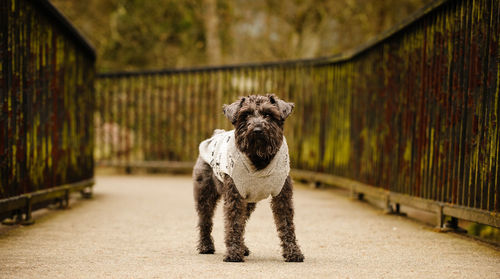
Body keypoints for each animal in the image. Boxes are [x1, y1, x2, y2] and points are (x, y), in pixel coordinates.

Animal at [193, 95, 304, 264]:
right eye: (245, 115)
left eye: (268, 114)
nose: (257, 129)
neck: (259, 159)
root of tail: (215, 135)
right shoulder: (234, 197)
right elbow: (233, 222)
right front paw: (233, 253)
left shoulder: (282, 196)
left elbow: (286, 223)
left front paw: (293, 252)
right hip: (205, 195)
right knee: (205, 221)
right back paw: (206, 246)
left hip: (248, 202)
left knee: (242, 221)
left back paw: (242, 248)